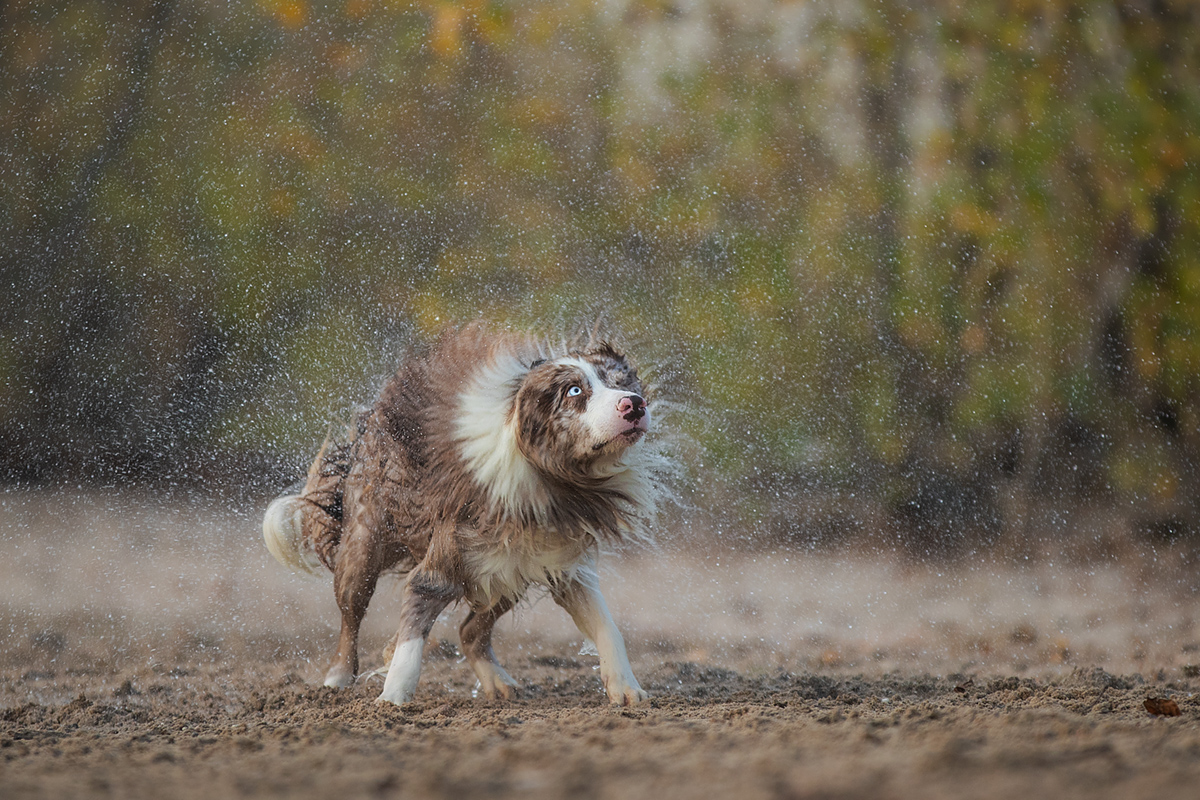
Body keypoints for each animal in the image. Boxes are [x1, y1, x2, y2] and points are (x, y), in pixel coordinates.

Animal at [264, 321, 672, 705]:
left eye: (622, 382)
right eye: (574, 392)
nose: (634, 404)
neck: (547, 474)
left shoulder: (563, 565)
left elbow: (608, 628)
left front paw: (627, 689)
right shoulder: (441, 564)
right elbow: (412, 637)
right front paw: (392, 700)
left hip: (505, 572)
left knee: (470, 630)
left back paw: (498, 681)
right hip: (364, 546)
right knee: (352, 614)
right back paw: (337, 679)